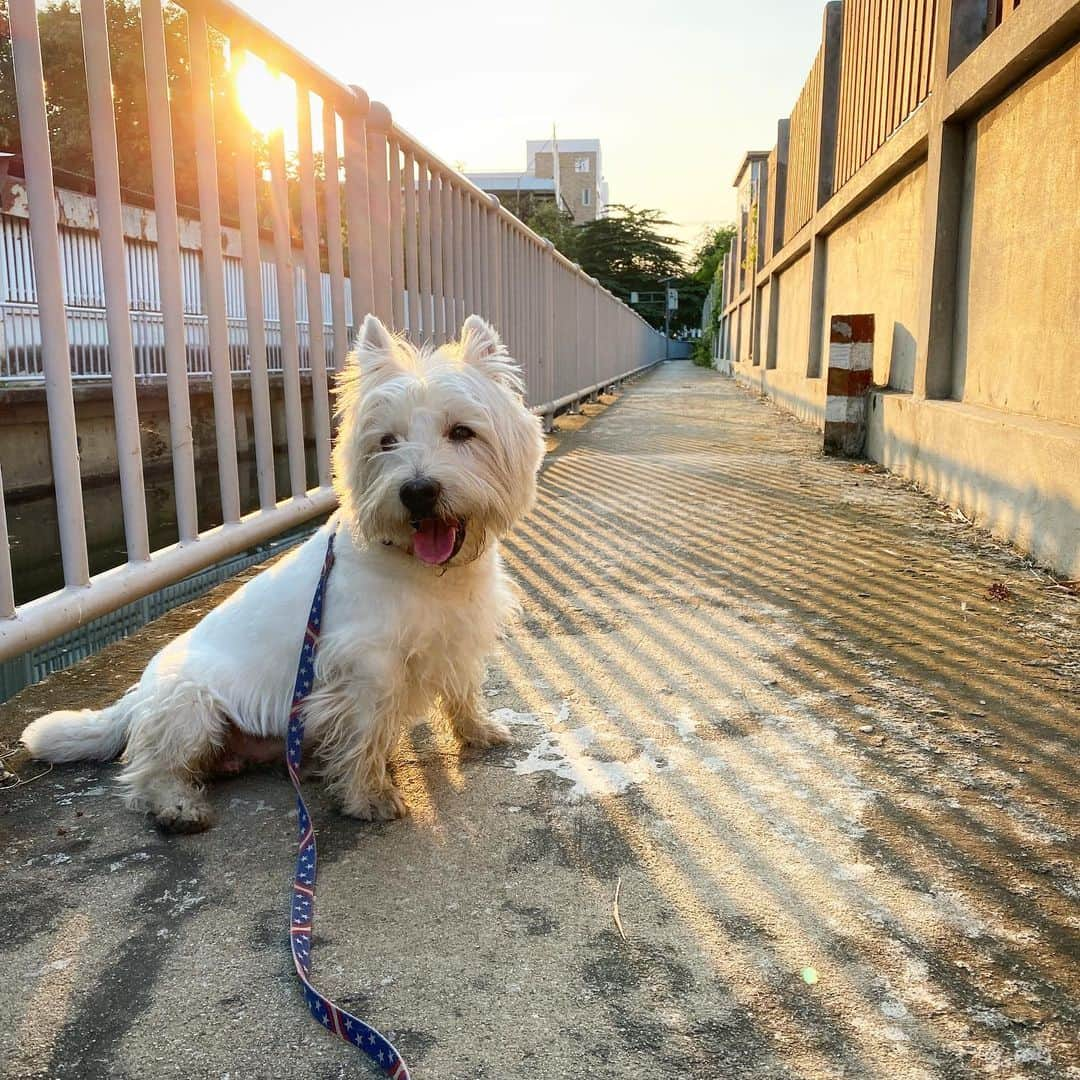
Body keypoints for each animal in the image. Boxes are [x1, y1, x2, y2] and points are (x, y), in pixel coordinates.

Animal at [23, 315, 548, 829]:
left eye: (462, 432)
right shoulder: (365, 665)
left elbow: (463, 688)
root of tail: (134, 697)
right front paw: (369, 795)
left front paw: (479, 729)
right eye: (386, 441)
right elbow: (364, 732)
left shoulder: (457, 633)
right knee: (149, 769)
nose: (417, 492)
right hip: (189, 705)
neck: (427, 570)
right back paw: (178, 805)